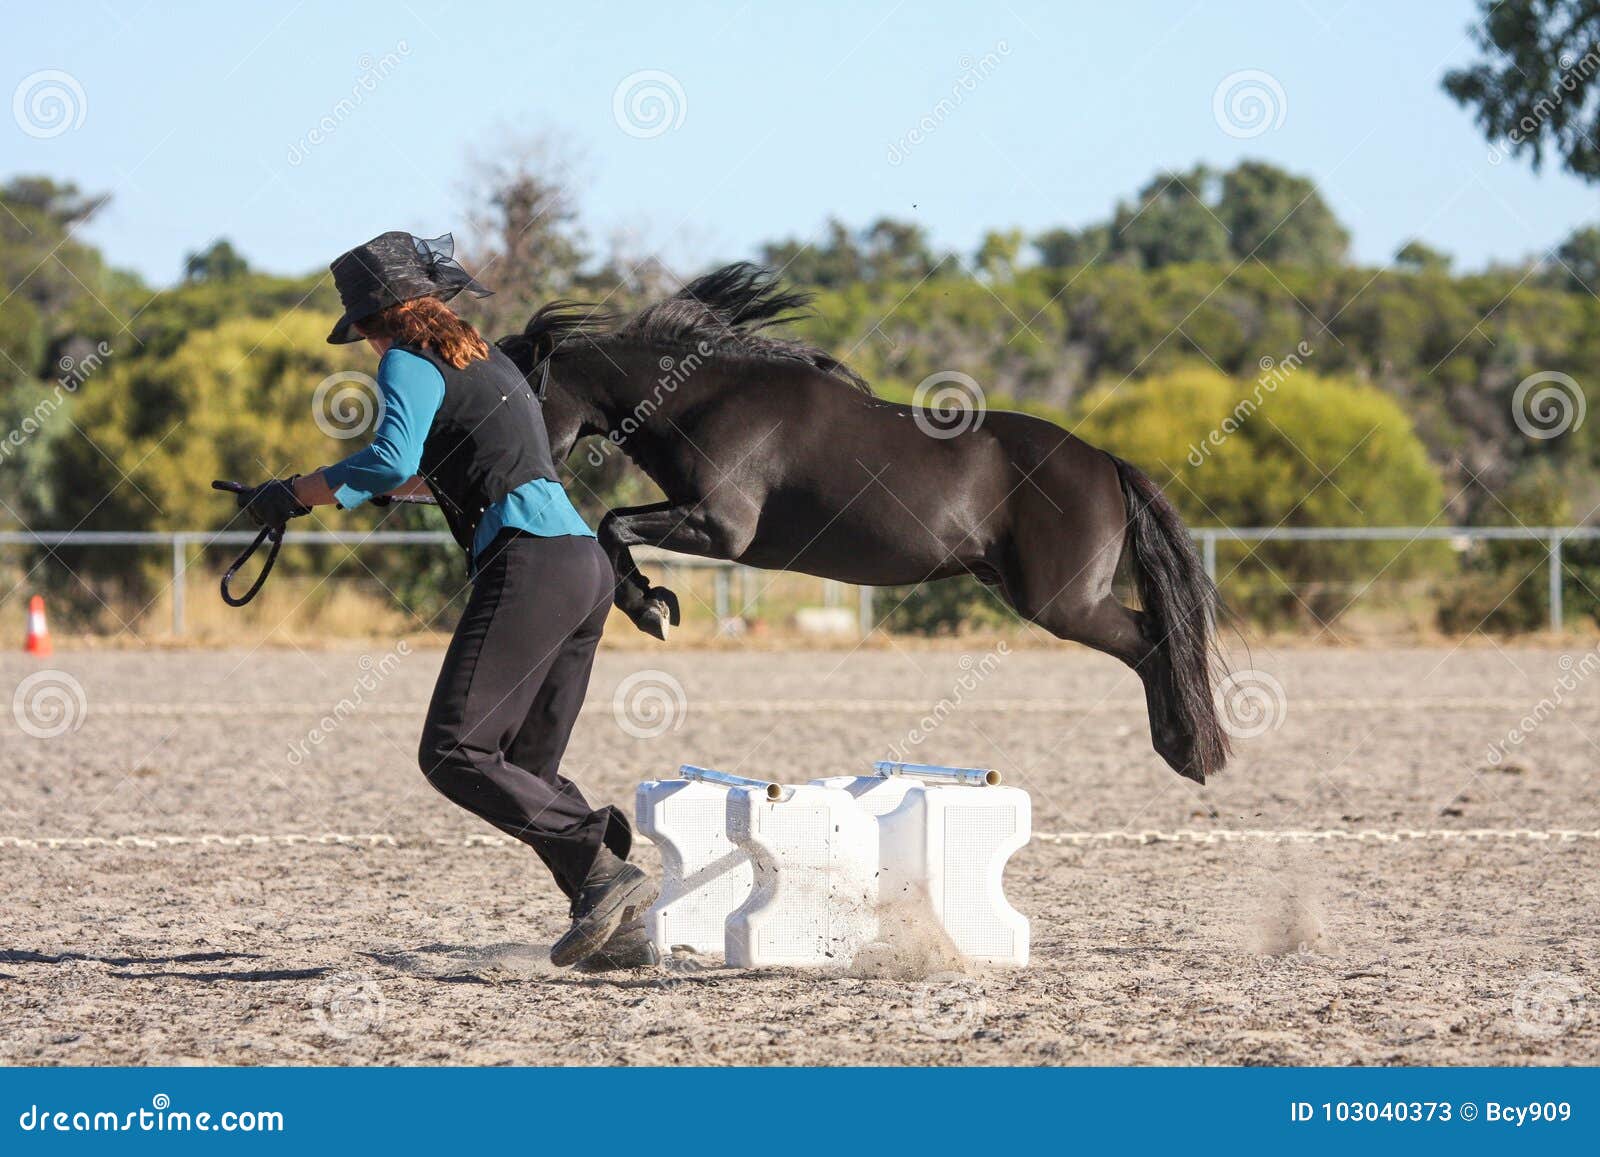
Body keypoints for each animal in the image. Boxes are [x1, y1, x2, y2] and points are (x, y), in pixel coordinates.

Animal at [497, 264, 1229, 783]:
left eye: (518, 394)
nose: (506, 480)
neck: (703, 398)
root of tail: (1104, 460)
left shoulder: (720, 527)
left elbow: (611, 525)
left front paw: (650, 608)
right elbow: (613, 528)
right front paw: (653, 602)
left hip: (1063, 602)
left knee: (1153, 639)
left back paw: (1187, 751)